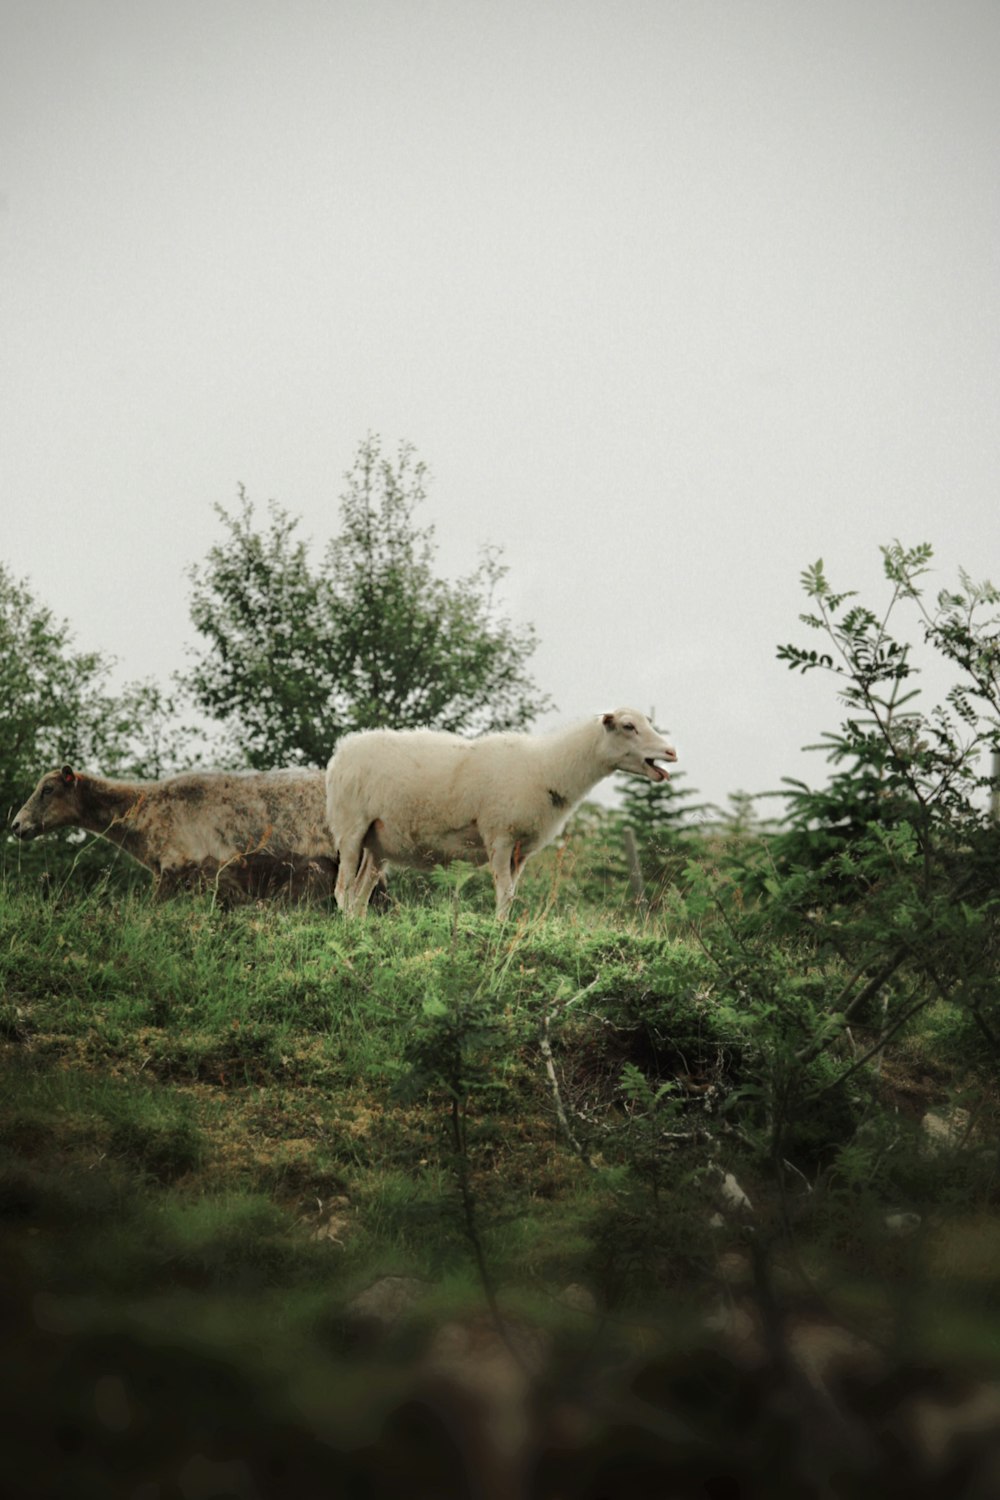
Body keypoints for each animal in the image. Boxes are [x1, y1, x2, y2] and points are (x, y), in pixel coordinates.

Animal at [328, 711, 680, 918]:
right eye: (628, 726)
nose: (672, 752)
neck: (548, 767)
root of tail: (343, 749)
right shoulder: (499, 836)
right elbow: (505, 892)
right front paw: (498, 931)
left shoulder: (521, 850)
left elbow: (512, 894)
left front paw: (504, 928)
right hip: (350, 827)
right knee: (342, 890)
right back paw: (347, 932)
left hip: (378, 842)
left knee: (360, 895)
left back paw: (361, 931)